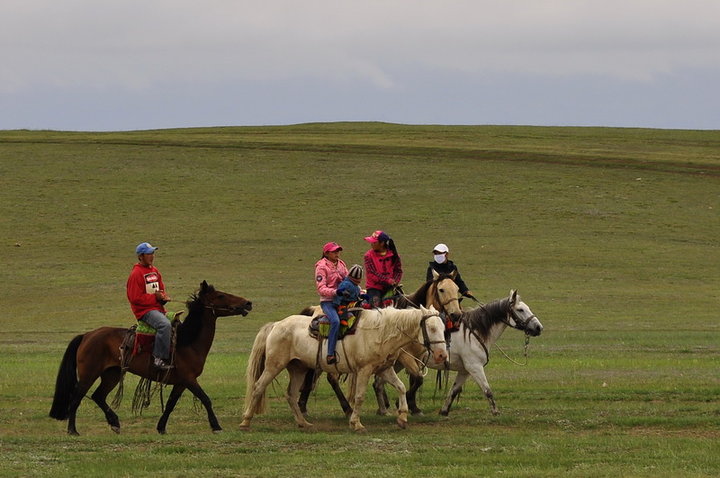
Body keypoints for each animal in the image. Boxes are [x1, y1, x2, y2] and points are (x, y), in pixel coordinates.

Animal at [49, 282, 252, 436]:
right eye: (220, 296)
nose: (248, 303)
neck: (187, 342)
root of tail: (87, 335)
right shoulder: (189, 379)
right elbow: (206, 399)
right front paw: (216, 426)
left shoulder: (181, 382)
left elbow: (170, 404)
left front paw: (161, 428)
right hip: (89, 374)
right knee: (76, 398)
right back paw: (73, 430)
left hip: (111, 374)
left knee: (98, 396)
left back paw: (115, 423)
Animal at [240, 306, 444, 434]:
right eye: (432, 328)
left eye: (444, 327)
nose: (442, 355)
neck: (380, 332)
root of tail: (276, 324)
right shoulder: (364, 370)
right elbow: (360, 397)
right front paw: (356, 424)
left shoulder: (384, 369)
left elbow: (401, 387)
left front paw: (402, 418)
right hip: (274, 365)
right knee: (258, 387)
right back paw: (245, 421)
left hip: (298, 368)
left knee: (291, 394)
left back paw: (303, 423)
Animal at [296, 274, 462, 416]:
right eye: (441, 289)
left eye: (457, 289)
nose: (456, 315)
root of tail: (315, 309)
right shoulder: (405, 356)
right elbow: (417, 378)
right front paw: (401, 404)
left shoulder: (417, 356)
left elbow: (415, 379)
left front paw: (412, 406)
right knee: (330, 378)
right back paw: (344, 408)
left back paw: (303, 406)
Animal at [376, 290, 540, 416]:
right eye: (520, 310)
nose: (539, 327)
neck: (475, 331)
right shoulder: (475, 367)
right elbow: (487, 390)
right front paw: (495, 412)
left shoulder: (465, 371)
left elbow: (454, 390)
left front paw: (444, 411)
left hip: (397, 363)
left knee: (378, 382)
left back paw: (384, 409)